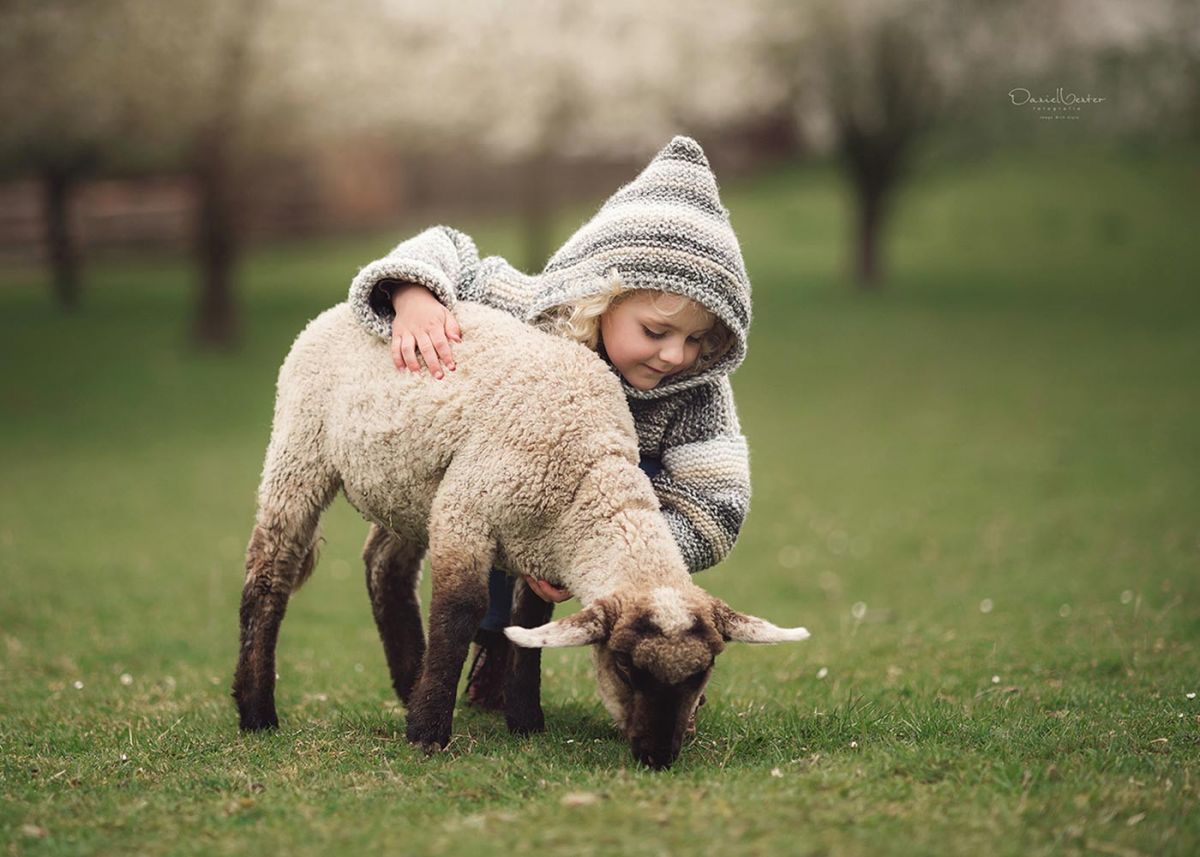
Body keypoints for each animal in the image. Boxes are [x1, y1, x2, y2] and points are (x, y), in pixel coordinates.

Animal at [231, 300, 816, 768]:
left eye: (704, 673)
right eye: (625, 668)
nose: (659, 757)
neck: (589, 475)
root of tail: (329, 313)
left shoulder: (531, 549)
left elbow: (530, 621)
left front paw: (524, 718)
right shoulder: (467, 510)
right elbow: (461, 609)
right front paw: (428, 733)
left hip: (410, 488)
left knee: (384, 566)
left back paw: (408, 680)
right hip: (301, 450)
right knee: (270, 570)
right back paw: (257, 710)